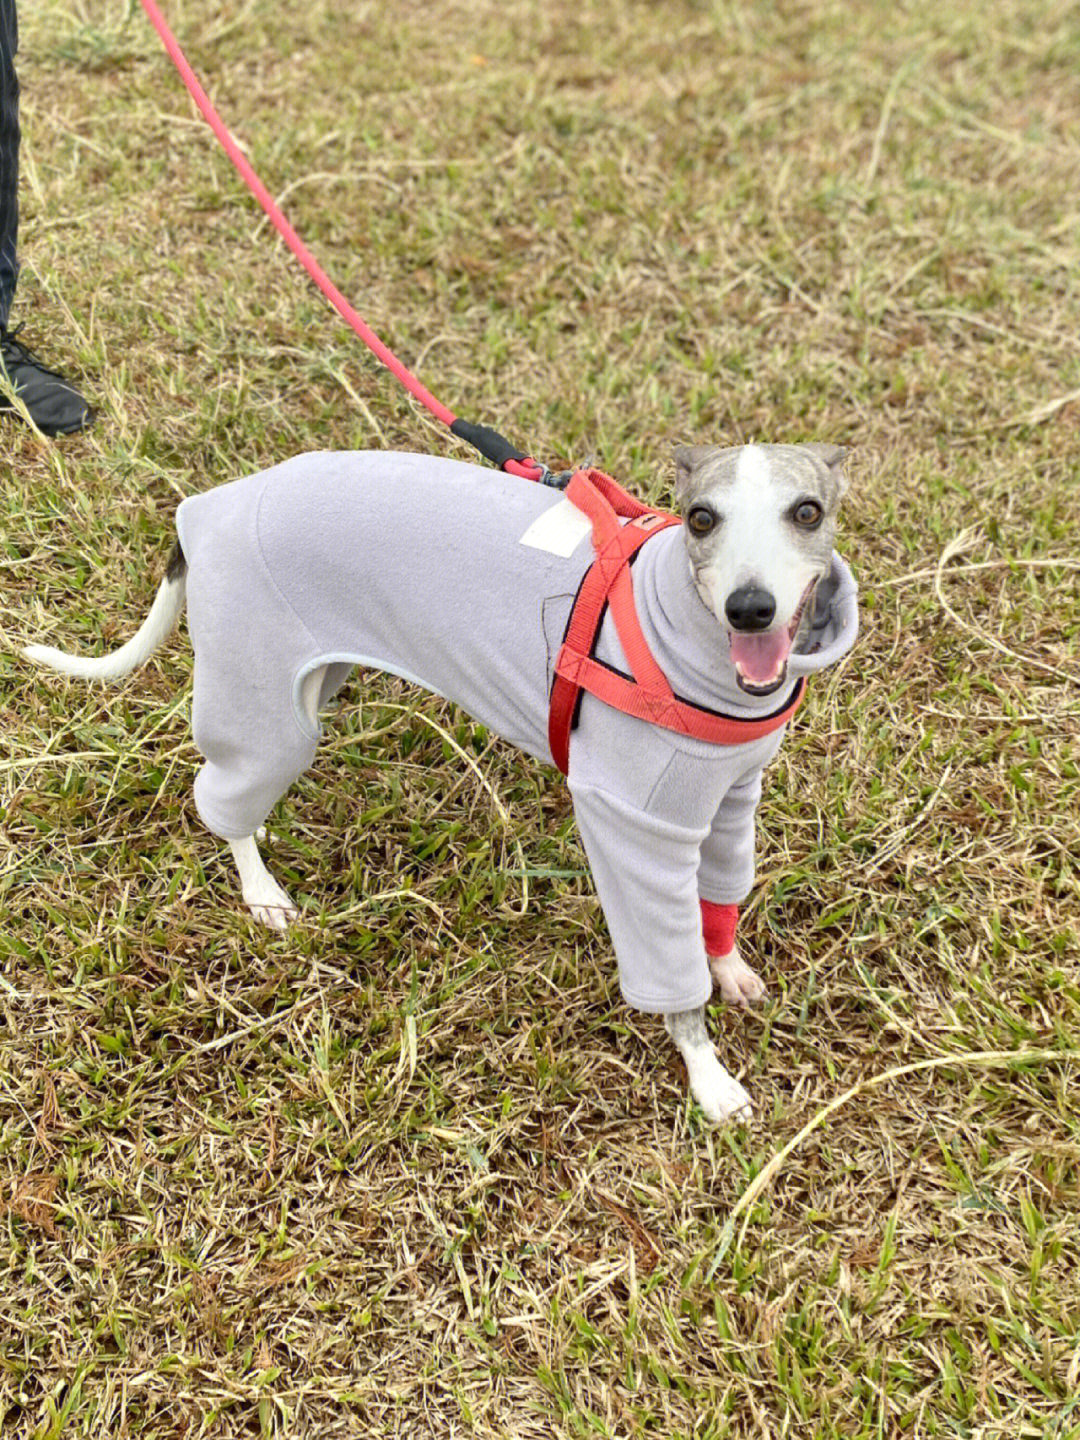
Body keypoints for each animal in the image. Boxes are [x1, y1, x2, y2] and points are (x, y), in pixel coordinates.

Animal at [25, 437, 864, 1123]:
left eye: (807, 511)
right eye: (700, 519)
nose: (750, 610)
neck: (684, 640)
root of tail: (206, 508)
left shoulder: (728, 798)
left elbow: (718, 904)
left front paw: (729, 970)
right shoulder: (634, 826)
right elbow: (671, 975)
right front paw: (708, 1075)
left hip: (312, 680)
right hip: (264, 704)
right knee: (217, 798)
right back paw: (261, 889)